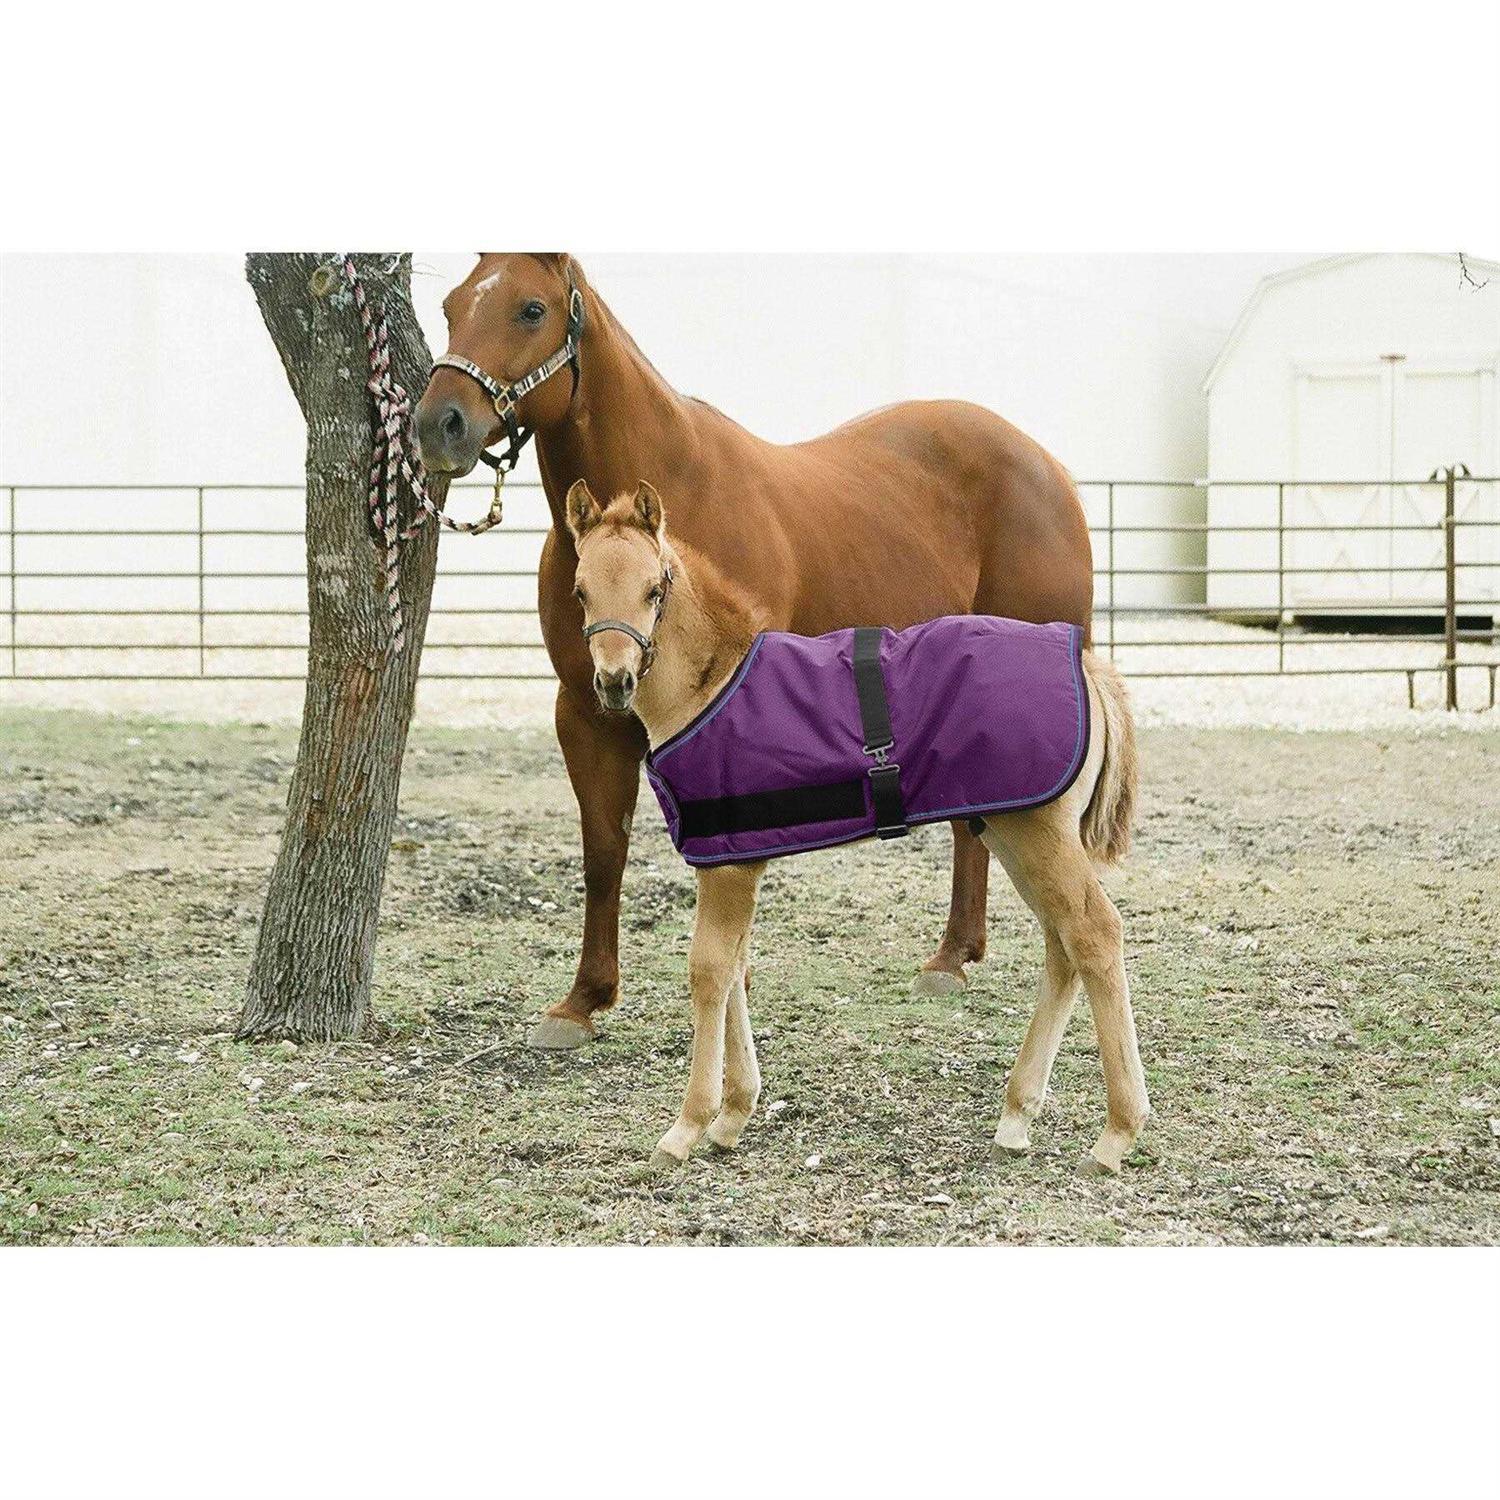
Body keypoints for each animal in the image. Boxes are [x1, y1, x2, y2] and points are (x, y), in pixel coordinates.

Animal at [414, 254, 1095, 1051]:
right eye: (451, 304)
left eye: (530, 309)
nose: (438, 424)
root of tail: (1049, 468)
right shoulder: (587, 711)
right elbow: (604, 850)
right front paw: (583, 1000)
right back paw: (953, 955)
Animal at [566, 479, 1149, 1175]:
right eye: (580, 589)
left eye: (655, 589)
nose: (614, 682)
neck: (711, 685)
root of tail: (1087, 665)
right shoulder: (733, 859)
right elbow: (736, 968)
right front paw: (734, 1115)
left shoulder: (728, 865)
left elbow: (709, 970)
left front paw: (688, 1126)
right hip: (1014, 832)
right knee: (1063, 944)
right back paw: (1016, 1117)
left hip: (1039, 834)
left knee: (1094, 932)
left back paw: (1116, 1134)